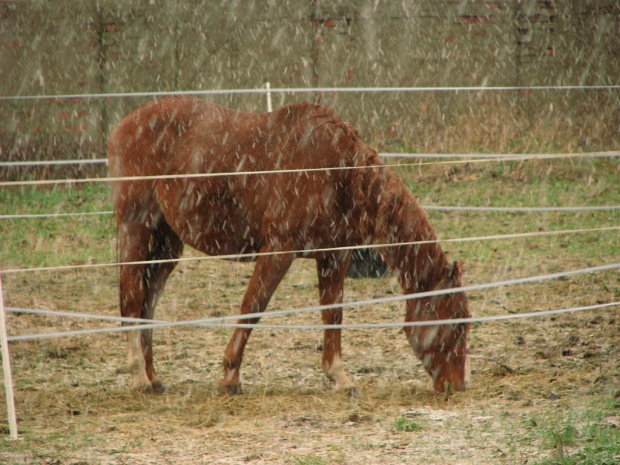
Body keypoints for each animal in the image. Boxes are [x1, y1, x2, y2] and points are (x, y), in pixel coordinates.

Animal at [109, 96, 472, 394]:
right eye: (455, 321)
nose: (455, 384)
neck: (338, 171)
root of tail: (124, 125)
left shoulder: (334, 256)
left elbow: (333, 312)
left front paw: (339, 376)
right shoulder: (278, 250)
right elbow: (253, 307)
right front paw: (230, 377)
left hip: (168, 243)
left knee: (149, 301)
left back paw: (153, 377)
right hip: (136, 226)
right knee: (133, 296)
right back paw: (139, 377)